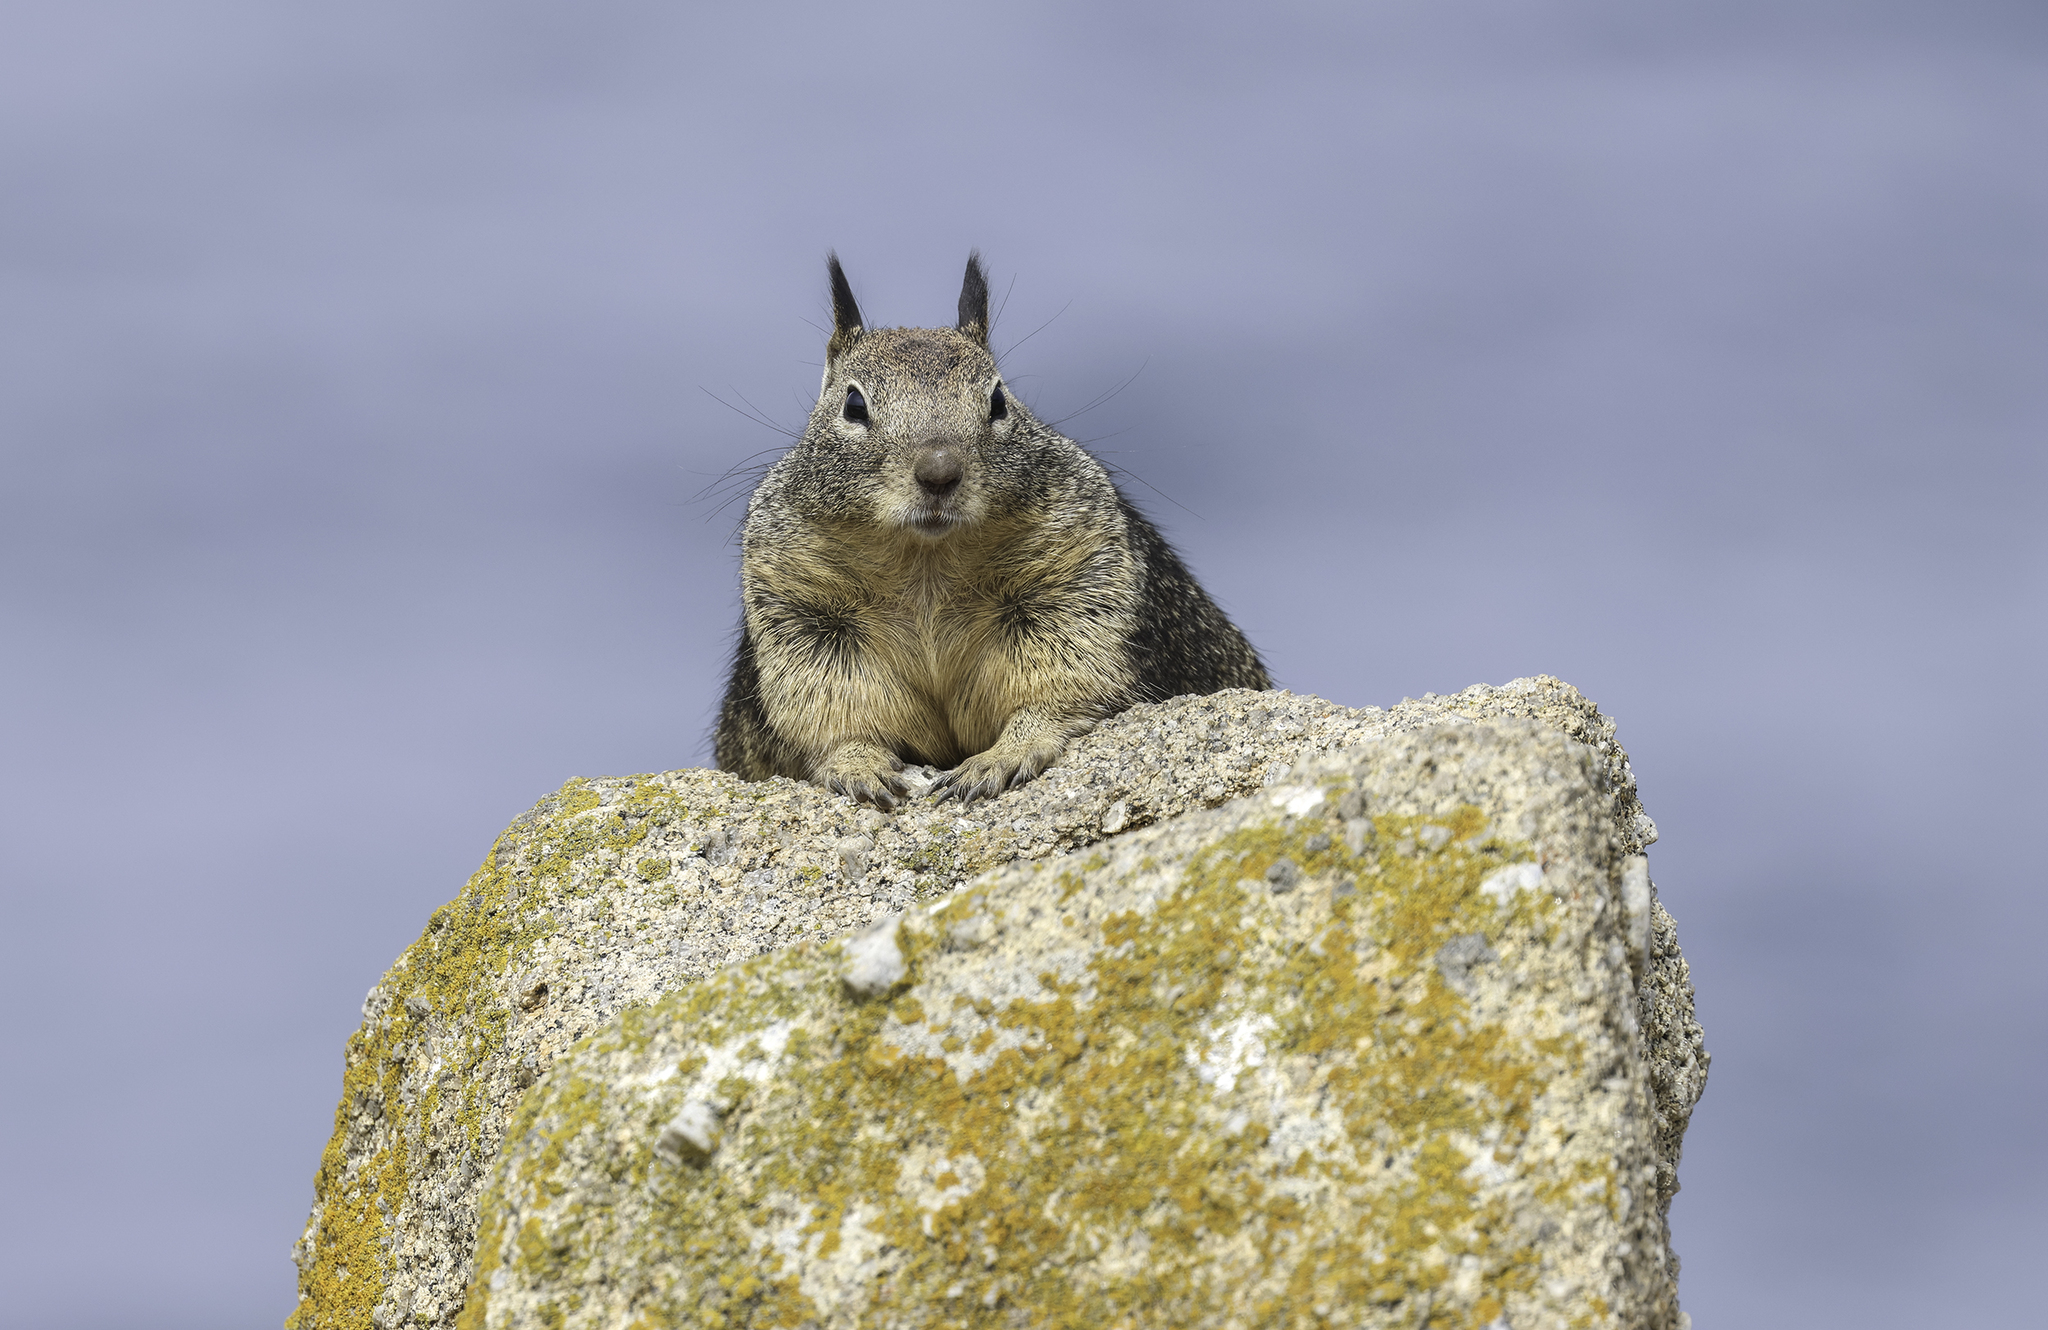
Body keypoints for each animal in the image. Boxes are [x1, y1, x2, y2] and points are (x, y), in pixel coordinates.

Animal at [714, 252, 1270, 809]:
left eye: (999, 400)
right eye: (854, 405)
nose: (939, 472)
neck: (927, 561)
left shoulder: (1077, 575)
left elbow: (1063, 684)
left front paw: (1000, 758)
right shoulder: (802, 609)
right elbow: (831, 707)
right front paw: (859, 766)